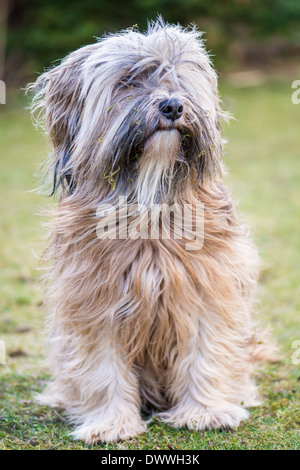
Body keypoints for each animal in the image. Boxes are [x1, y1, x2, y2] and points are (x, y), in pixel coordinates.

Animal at [29, 19, 274, 444]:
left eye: (177, 77)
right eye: (129, 81)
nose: (173, 106)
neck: (148, 209)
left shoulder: (208, 288)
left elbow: (205, 349)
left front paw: (205, 411)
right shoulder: (95, 299)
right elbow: (102, 364)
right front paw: (110, 422)